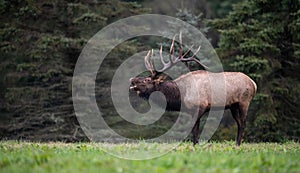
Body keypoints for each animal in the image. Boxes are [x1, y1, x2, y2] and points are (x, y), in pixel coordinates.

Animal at [129, 32, 258, 146]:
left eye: (146, 80)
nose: (132, 79)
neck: (181, 95)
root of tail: (254, 84)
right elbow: (195, 130)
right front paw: (195, 145)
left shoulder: (201, 106)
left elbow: (194, 130)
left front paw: (196, 145)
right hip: (233, 106)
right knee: (239, 123)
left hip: (244, 102)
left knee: (243, 123)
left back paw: (238, 144)